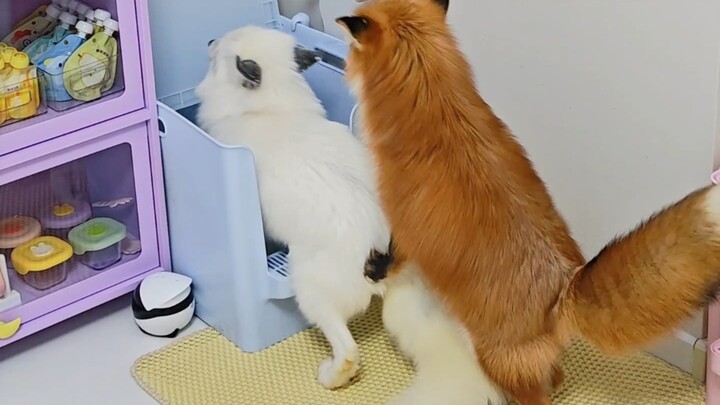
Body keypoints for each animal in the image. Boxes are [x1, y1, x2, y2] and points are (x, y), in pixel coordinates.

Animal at [336, 0, 720, 404]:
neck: (434, 108)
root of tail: (561, 292)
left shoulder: (404, 223)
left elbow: (394, 257)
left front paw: (376, 269)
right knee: (557, 376)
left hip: (494, 360)